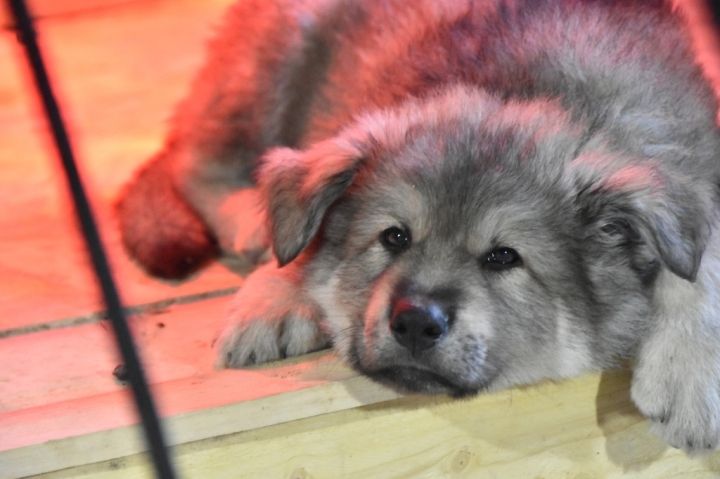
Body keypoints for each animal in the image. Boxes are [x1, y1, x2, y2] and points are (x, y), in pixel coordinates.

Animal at [118, 0, 720, 452]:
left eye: (503, 257)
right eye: (395, 237)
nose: (414, 322)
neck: (525, 87)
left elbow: (700, 254)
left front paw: (690, 375)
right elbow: (311, 224)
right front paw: (278, 294)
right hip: (275, 57)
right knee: (193, 158)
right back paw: (249, 217)